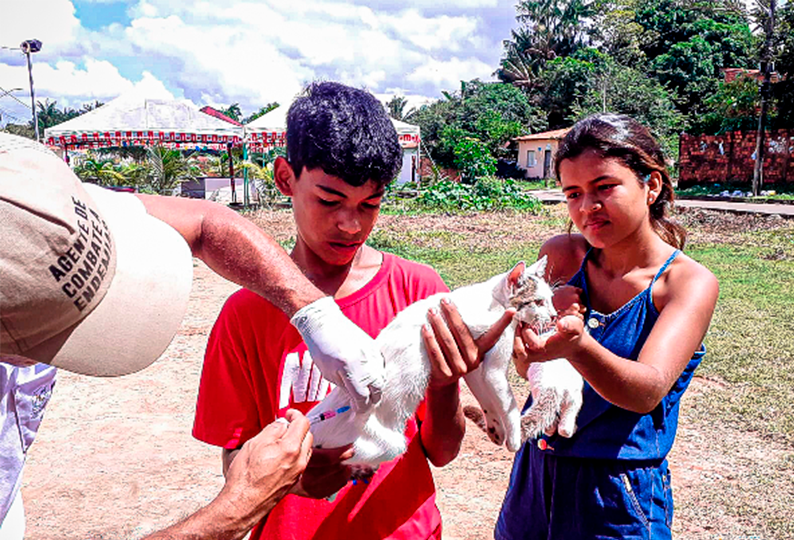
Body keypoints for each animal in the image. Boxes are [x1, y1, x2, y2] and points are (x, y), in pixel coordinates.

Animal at [308, 255, 580, 466]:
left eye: (551, 299)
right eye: (538, 302)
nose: (554, 316)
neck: (490, 298)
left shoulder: (475, 362)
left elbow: (486, 397)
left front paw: (495, 428)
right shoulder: (494, 363)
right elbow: (509, 404)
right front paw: (514, 439)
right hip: (384, 445)